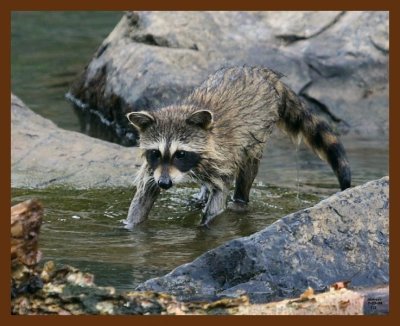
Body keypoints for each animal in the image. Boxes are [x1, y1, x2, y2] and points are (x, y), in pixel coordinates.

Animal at [124, 65, 350, 229]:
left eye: (181, 154)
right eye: (155, 152)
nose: (165, 183)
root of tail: (264, 73)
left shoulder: (221, 158)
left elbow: (218, 197)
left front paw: (205, 226)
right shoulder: (155, 167)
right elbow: (144, 194)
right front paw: (130, 225)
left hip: (259, 129)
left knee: (248, 166)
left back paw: (240, 201)